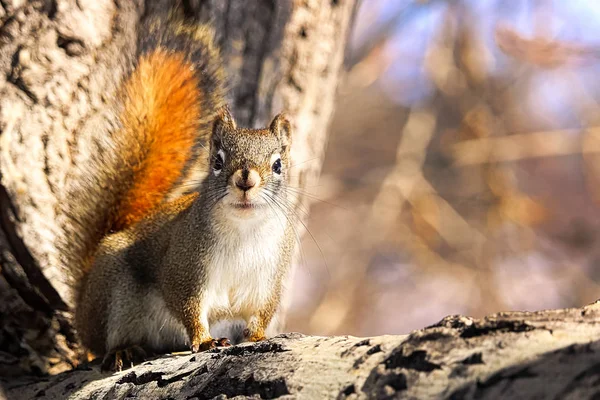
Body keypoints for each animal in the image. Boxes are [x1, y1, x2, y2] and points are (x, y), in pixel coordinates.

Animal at [61, 7, 296, 372]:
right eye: (217, 161)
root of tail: (83, 308)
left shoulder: (268, 278)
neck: (243, 229)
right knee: (105, 341)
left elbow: (262, 312)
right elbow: (186, 304)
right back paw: (122, 350)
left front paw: (257, 336)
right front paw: (205, 339)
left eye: (278, 165)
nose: (245, 180)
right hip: (113, 293)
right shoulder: (184, 265)